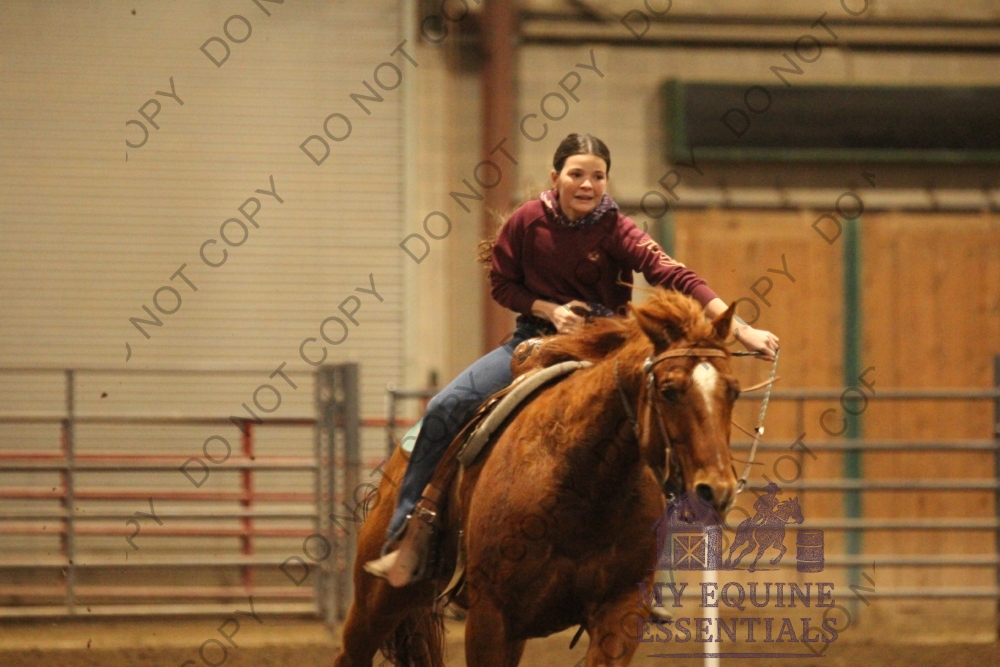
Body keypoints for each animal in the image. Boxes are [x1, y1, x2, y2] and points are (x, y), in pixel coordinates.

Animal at [332, 290, 743, 667]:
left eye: (734, 391)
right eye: (669, 391)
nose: (717, 489)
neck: (583, 487)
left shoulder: (620, 612)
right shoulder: (489, 617)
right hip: (376, 601)